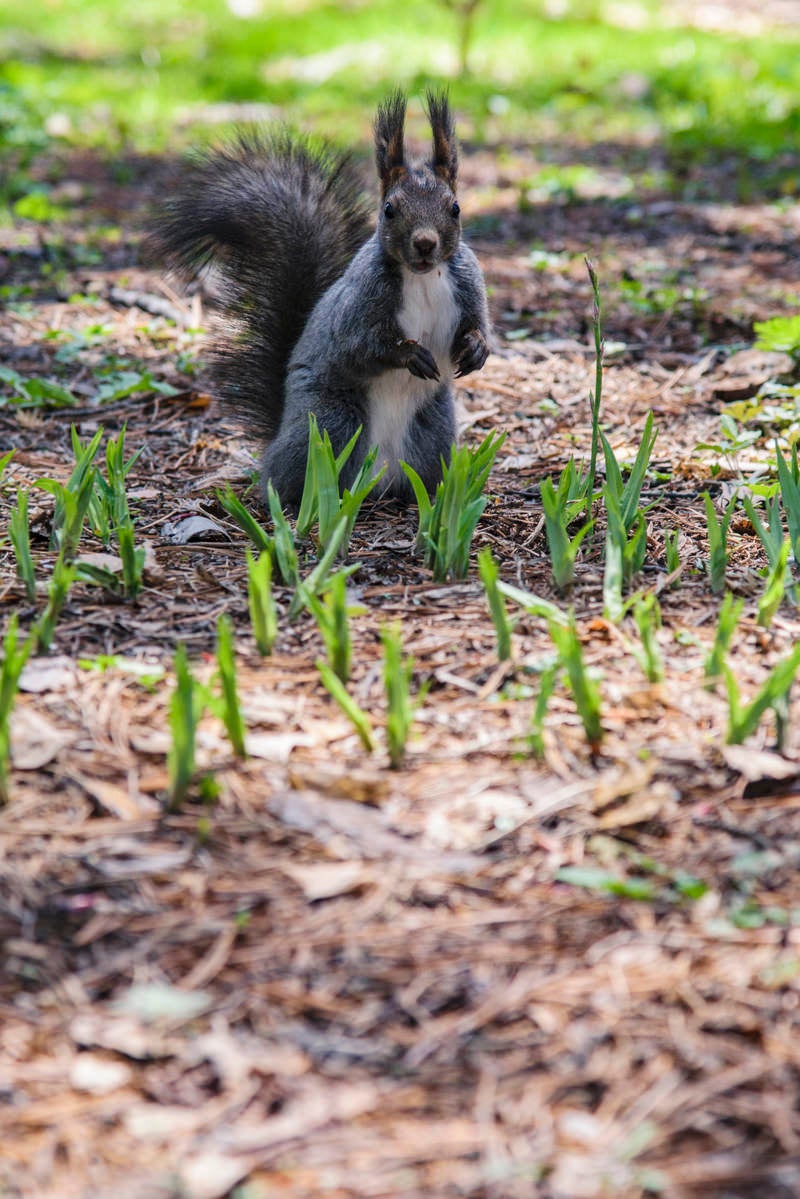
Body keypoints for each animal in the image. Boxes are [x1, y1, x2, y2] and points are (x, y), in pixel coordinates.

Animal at [146, 89, 491, 505]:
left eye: (455, 208)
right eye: (389, 209)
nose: (425, 243)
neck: (422, 278)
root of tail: (380, 479)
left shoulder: (468, 283)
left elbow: (477, 323)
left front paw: (477, 348)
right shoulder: (360, 302)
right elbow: (359, 346)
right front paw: (409, 353)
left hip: (432, 431)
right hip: (332, 421)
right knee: (290, 473)